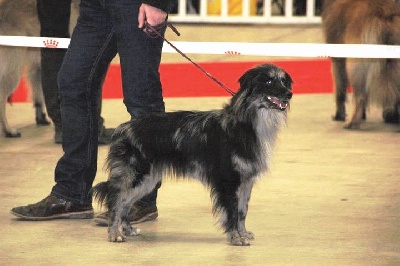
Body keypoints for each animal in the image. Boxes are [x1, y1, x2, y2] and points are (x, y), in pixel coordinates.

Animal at [93, 63, 294, 246]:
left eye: (284, 81)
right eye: (269, 81)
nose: (289, 94)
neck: (245, 122)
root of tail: (122, 129)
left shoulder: (246, 181)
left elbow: (242, 211)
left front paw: (243, 233)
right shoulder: (228, 181)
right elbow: (232, 212)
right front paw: (236, 238)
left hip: (147, 180)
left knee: (126, 203)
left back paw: (128, 229)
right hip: (135, 175)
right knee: (116, 201)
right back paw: (114, 234)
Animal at [322, 0, 400, 129]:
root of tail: (386, 15)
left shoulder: (338, 61)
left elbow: (340, 91)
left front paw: (339, 115)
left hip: (354, 65)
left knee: (360, 95)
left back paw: (351, 122)